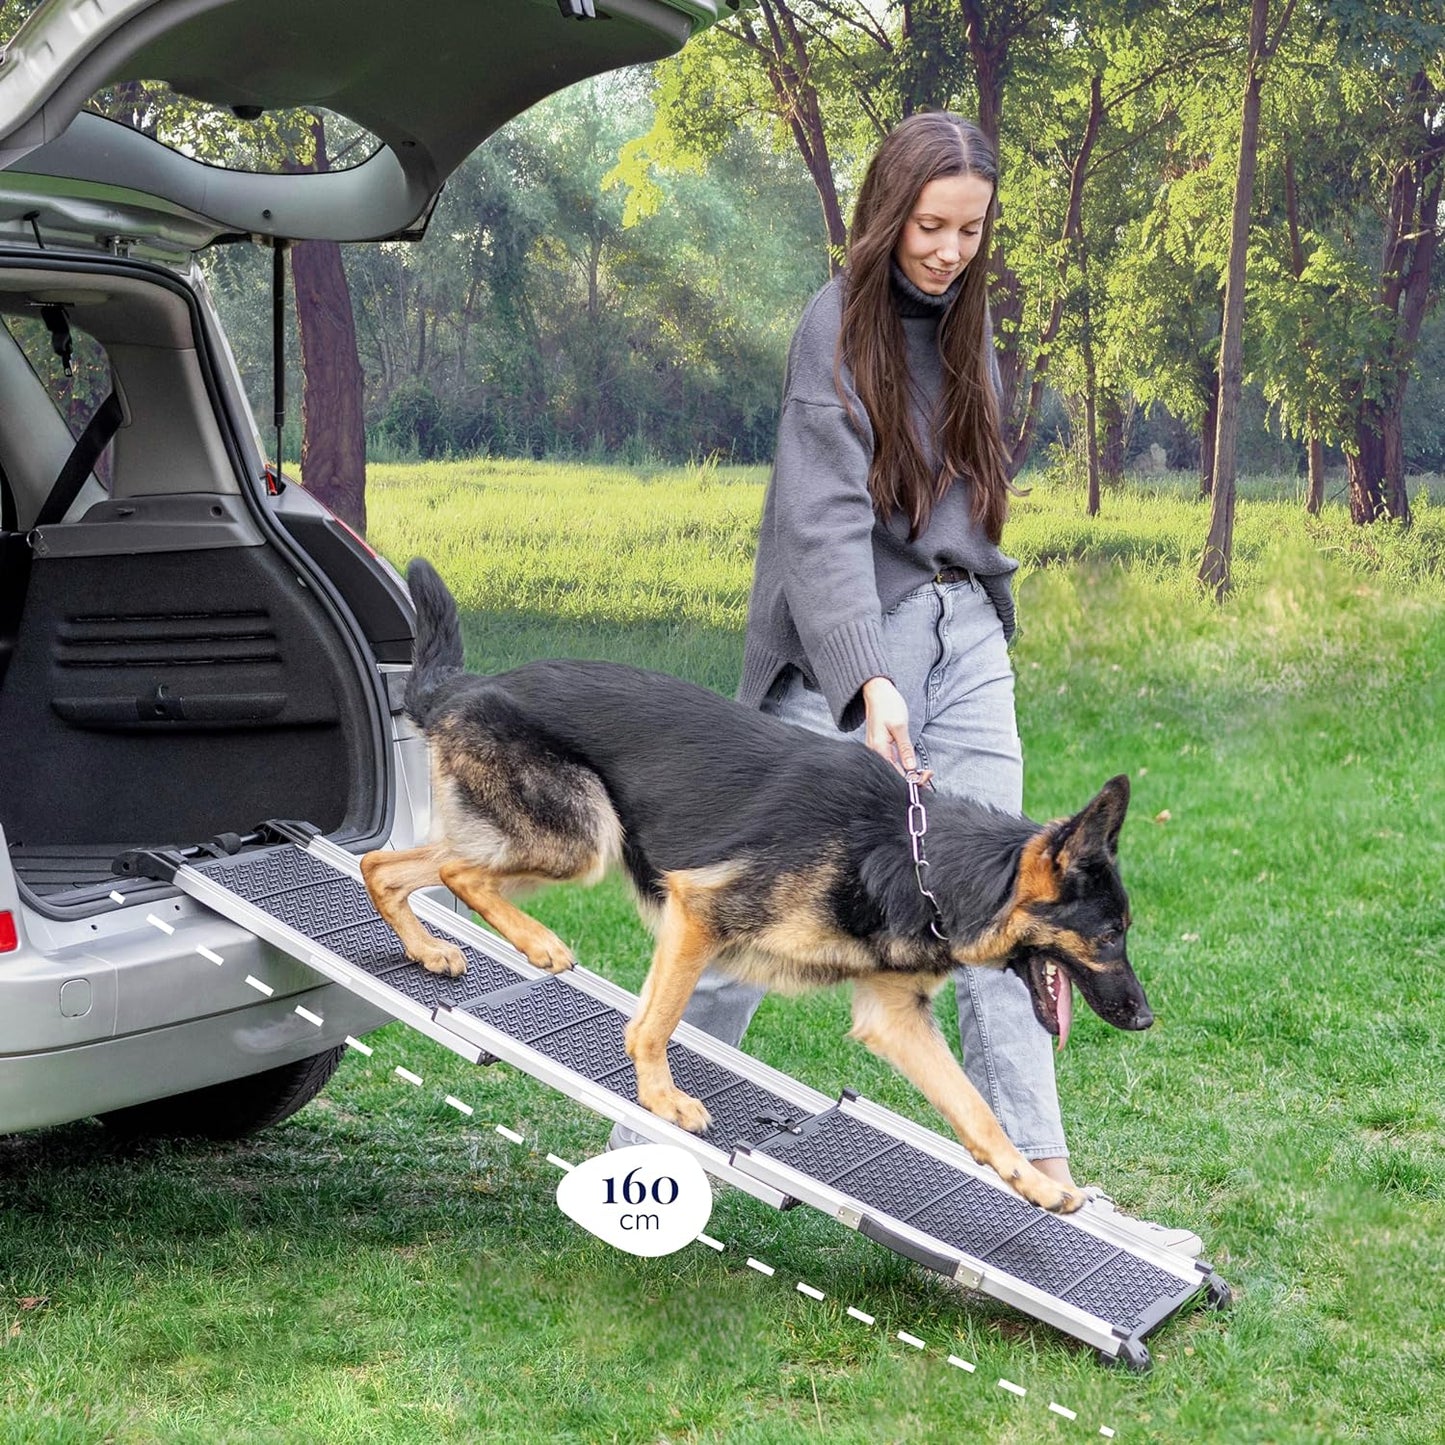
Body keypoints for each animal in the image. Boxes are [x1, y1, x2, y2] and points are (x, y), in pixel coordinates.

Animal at [367, 557, 1156, 1213]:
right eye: (1108, 934)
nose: (1147, 1019)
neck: (919, 859)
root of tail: (467, 685)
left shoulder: (894, 1017)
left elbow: (978, 1112)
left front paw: (1034, 1184)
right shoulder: (699, 910)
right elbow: (654, 1022)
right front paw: (663, 1098)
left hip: (535, 837)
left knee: (388, 865)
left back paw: (429, 949)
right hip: (580, 838)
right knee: (453, 869)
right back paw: (537, 945)